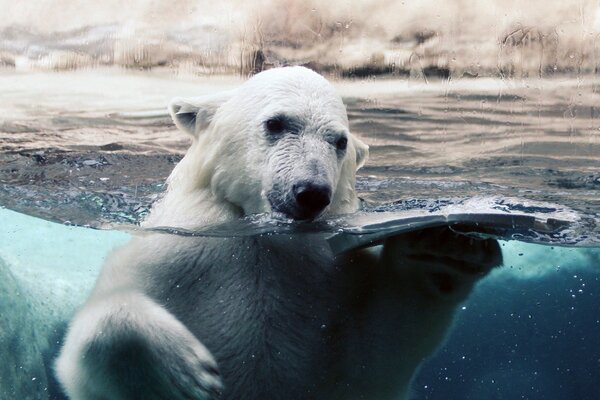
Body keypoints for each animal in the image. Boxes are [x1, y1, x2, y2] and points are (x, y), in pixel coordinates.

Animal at [55, 67, 502, 398]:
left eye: (339, 141)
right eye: (276, 123)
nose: (311, 192)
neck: (260, 236)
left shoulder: (331, 278)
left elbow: (374, 354)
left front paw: (443, 247)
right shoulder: (176, 251)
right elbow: (87, 344)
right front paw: (184, 376)